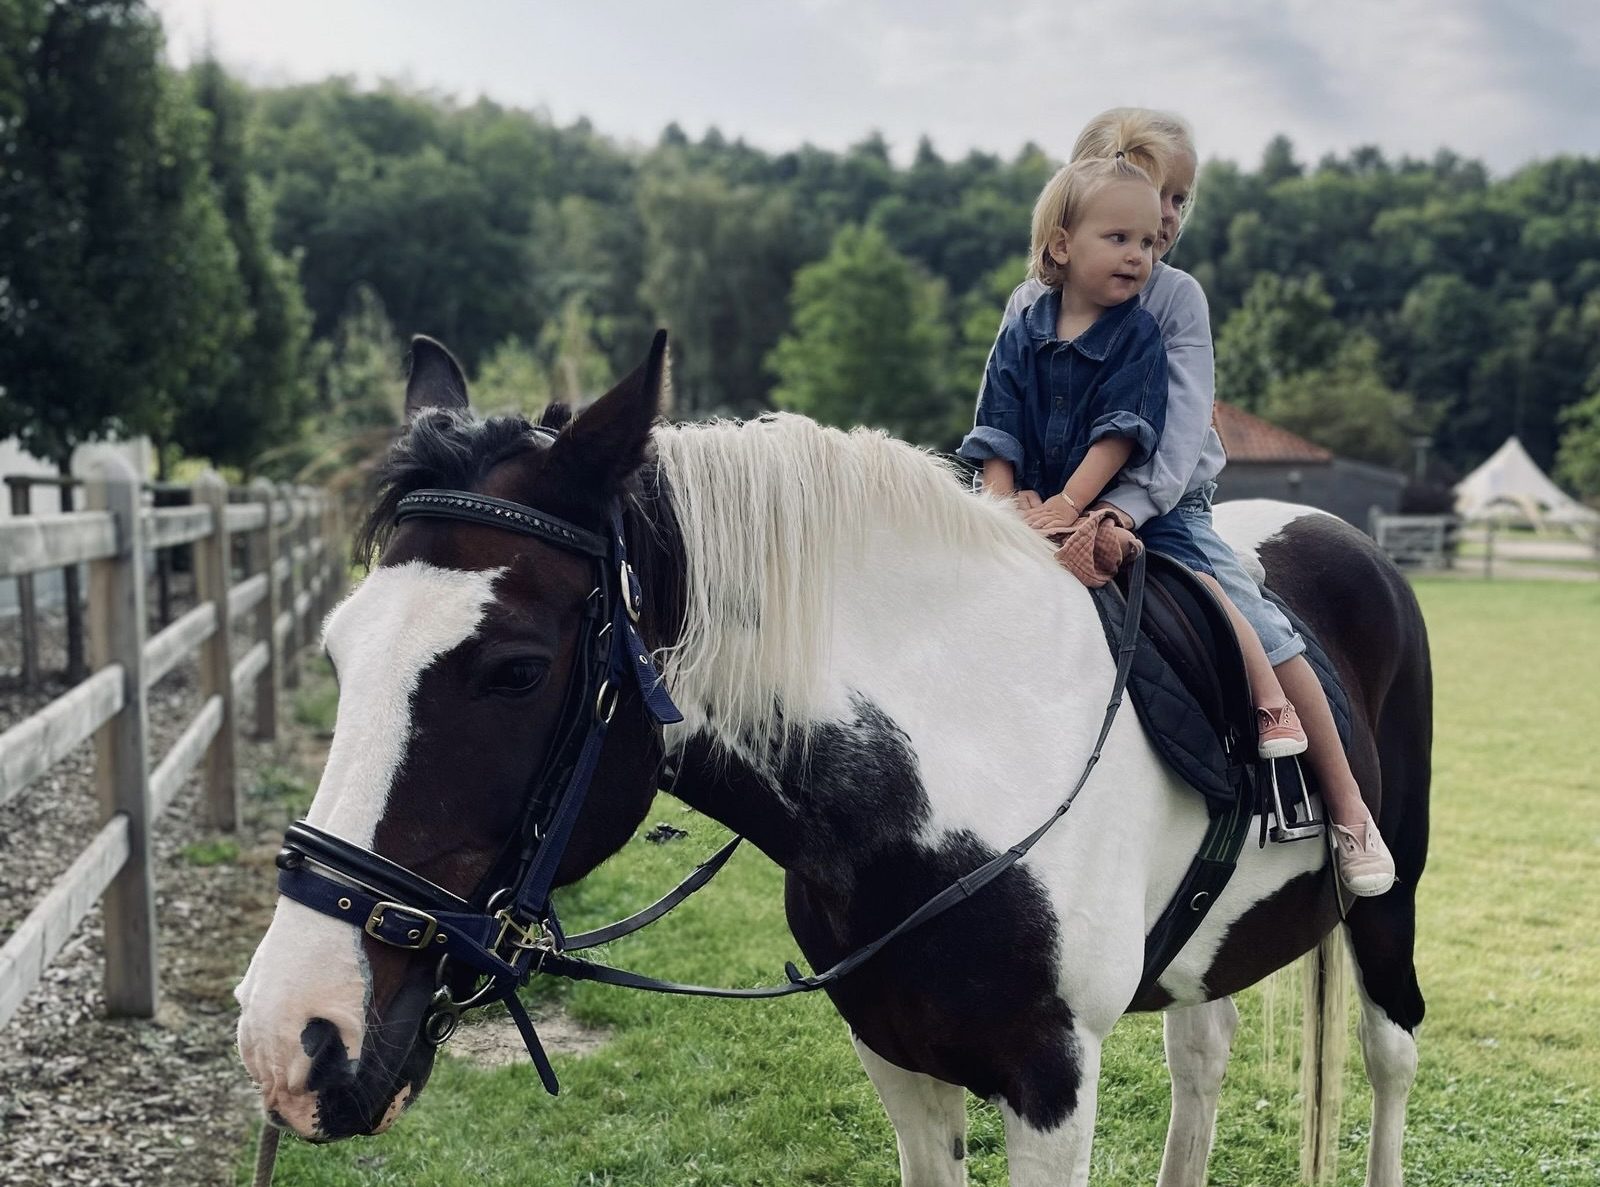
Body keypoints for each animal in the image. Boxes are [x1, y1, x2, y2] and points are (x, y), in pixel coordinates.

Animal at [233, 334, 1427, 1187]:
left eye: (516, 671)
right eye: (338, 649)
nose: (291, 1034)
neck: (950, 777)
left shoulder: (1053, 1079)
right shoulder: (894, 1051)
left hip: (1389, 904)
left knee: (1387, 1052)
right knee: (1202, 1049)